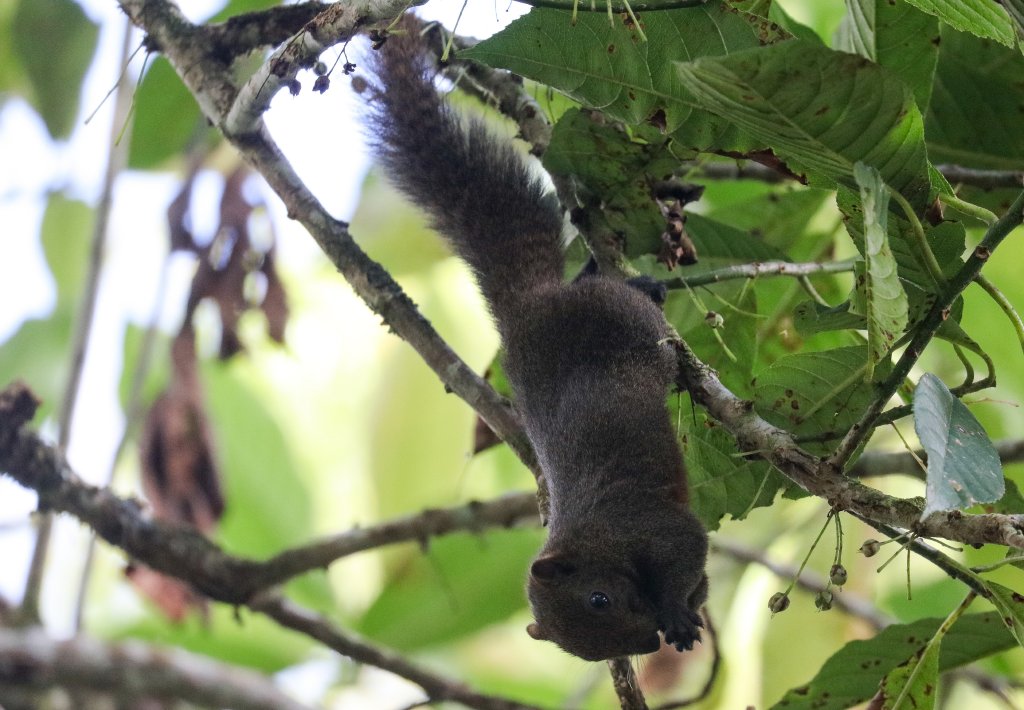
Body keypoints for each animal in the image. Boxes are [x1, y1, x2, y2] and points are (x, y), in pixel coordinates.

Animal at [362, 18, 709, 661]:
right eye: (588, 650)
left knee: (622, 303)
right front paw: (685, 613)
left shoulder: (652, 526)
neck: (597, 540)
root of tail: (526, 308)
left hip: (623, 324)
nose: (645, 640)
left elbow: (686, 550)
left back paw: (641, 285)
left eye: (597, 599)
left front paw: (677, 612)